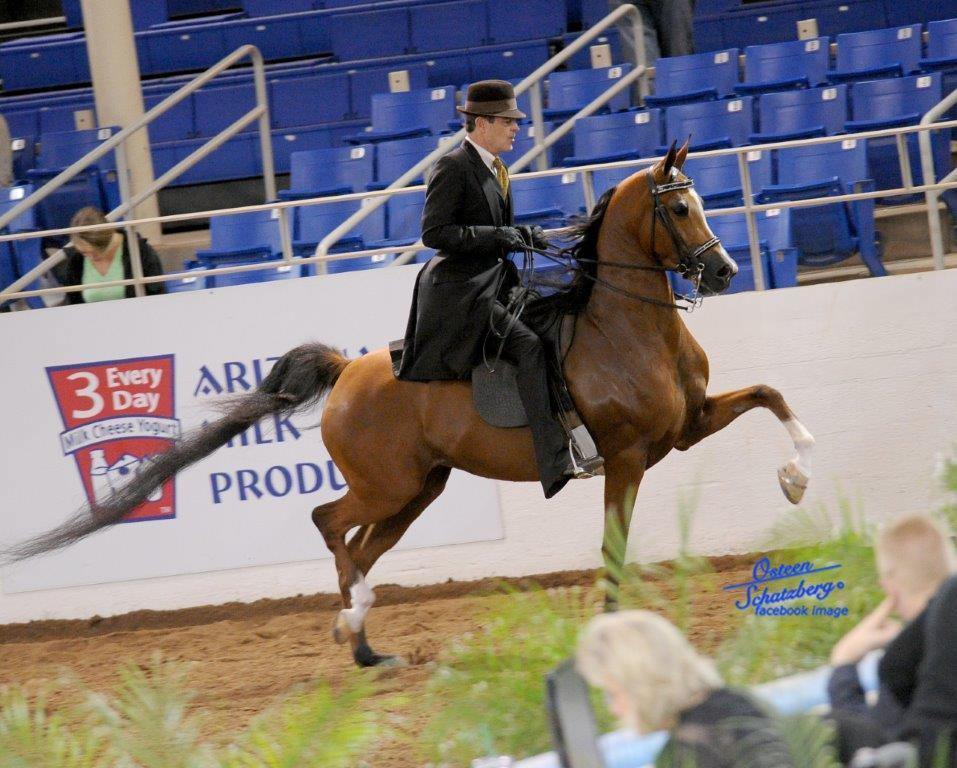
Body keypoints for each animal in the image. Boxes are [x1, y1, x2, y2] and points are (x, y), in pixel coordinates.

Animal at [7, 141, 815, 667]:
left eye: (701, 201)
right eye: (677, 207)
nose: (724, 268)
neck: (625, 326)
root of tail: (346, 371)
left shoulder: (686, 428)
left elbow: (771, 393)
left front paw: (797, 477)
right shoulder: (625, 457)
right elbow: (612, 548)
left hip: (418, 490)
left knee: (361, 549)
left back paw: (361, 643)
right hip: (386, 485)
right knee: (328, 522)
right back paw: (355, 626)